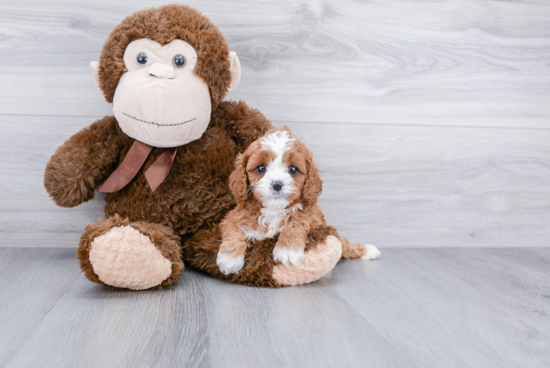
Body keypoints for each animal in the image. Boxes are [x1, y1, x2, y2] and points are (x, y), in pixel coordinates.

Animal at [218, 128, 382, 274]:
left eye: (293, 169)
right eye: (260, 168)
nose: (277, 184)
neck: (274, 210)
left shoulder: (313, 216)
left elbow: (297, 220)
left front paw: (287, 250)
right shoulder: (234, 216)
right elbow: (233, 230)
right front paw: (229, 259)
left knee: (344, 244)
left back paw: (367, 250)